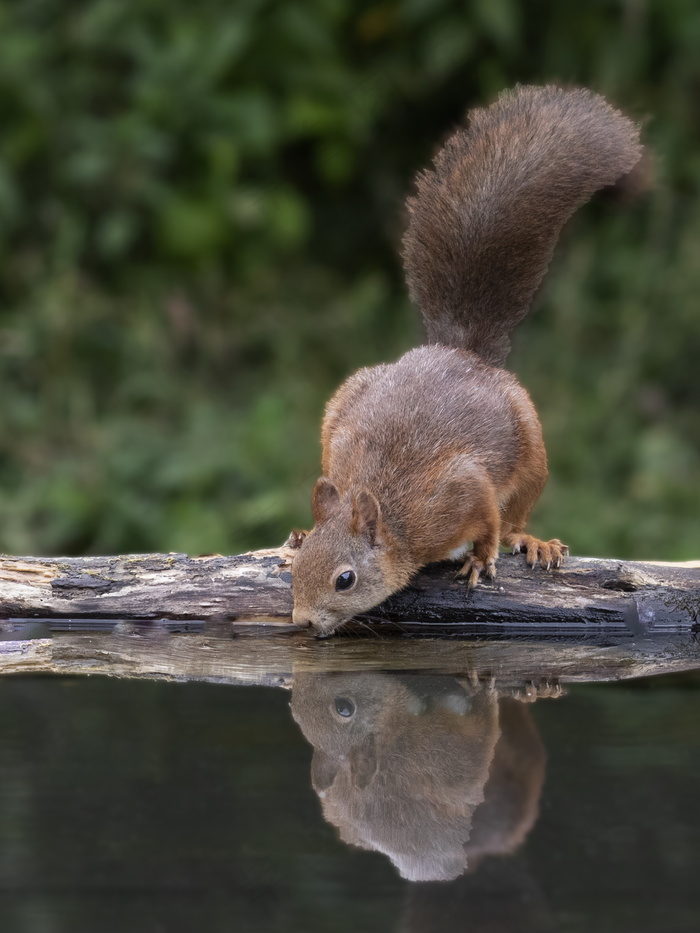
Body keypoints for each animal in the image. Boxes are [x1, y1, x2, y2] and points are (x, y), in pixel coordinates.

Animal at [288, 85, 644, 632]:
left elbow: (489, 522)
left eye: (344, 579)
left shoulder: (460, 489)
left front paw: (481, 557)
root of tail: (458, 350)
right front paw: (302, 537)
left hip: (532, 451)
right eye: (297, 572)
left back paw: (531, 541)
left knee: (515, 514)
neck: (392, 515)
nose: (302, 622)